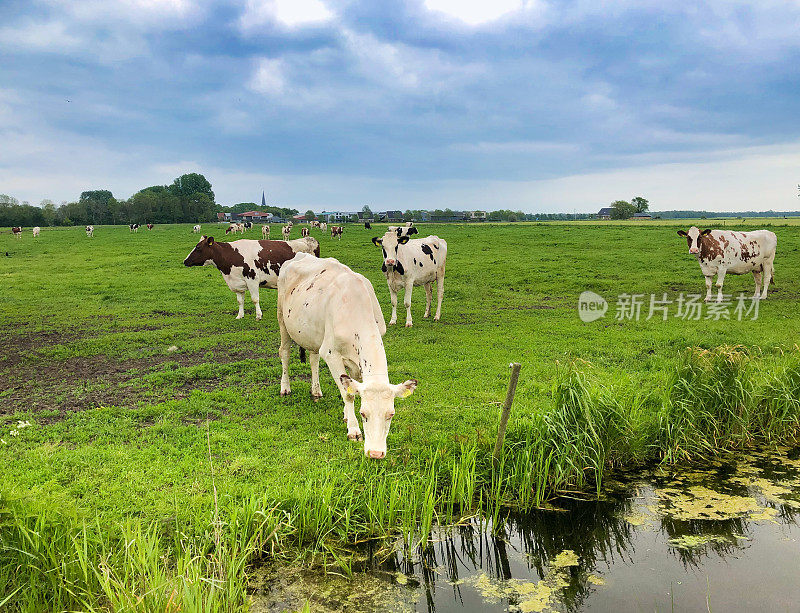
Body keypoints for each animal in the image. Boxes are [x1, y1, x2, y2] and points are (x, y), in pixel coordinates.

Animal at [183, 234, 320, 320]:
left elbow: (255, 299)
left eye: (198, 247)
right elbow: (240, 301)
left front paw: (258, 316)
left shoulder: (252, 279)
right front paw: (240, 315)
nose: (185, 261)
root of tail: (310, 239)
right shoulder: (237, 283)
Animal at [276, 251, 416, 456]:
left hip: (313, 335)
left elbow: (352, 387)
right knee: (284, 352)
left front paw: (345, 415)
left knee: (313, 358)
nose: (375, 453)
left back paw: (316, 390)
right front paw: (353, 429)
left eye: (391, 414)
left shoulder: (356, 361)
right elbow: (348, 394)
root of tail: (299, 254)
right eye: (363, 413)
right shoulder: (331, 354)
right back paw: (285, 387)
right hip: (283, 321)